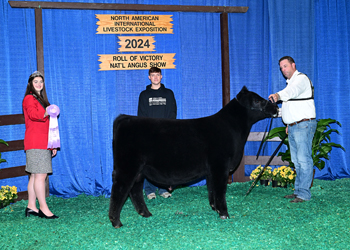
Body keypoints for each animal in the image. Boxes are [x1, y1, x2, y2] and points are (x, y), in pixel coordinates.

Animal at [108, 86, 278, 229]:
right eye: (257, 100)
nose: (276, 107)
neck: (233, 129)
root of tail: (125, 118)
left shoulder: (211, 170)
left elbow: (212, 189)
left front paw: (215, 209)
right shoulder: (220, 165)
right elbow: (220, 190)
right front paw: (224, 214)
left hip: (139, 170)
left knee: (135, 190)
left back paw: (146, 214)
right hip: (127, 167)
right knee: (119, 190)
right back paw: (116, 222)